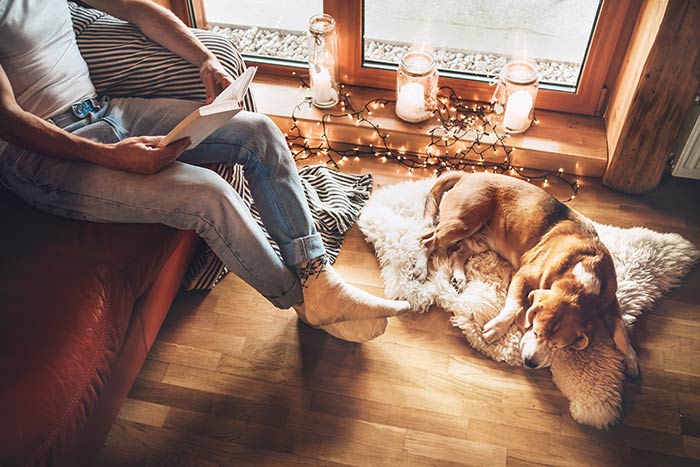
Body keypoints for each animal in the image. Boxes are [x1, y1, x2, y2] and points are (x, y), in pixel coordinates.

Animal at [416, 172, 640, 376]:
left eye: (557, 345)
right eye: (535, 330)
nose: (530, 363)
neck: (583, 275)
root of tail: (470, 174)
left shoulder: (610, 301)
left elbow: (620, 331)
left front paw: (631, 359)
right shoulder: (523, 276)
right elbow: (515, 306)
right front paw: (495, 329)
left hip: (480, 239)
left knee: (458, 252)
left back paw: (459, 277)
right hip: (463, 222)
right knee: (427, 241)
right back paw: (420, 267)